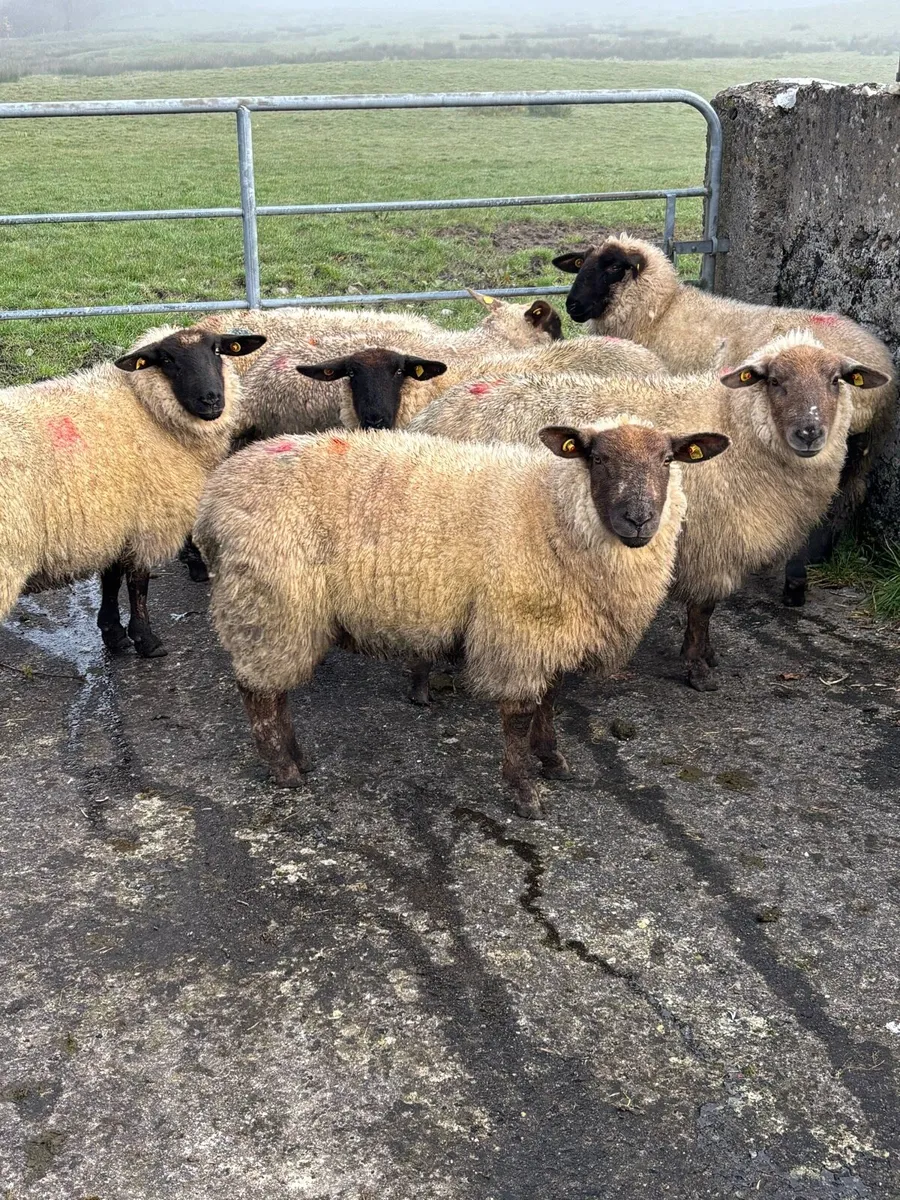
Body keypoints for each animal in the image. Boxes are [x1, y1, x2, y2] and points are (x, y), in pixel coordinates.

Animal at [0, 325, 265, 658]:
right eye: (167, 360)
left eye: (217, 351)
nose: (212, 399)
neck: (146, 409)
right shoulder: (147, 518)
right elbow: (138, 582)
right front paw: (146, 640)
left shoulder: (118, 520)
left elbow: (112, 579)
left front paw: (113, 633)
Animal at [194, 421, 729, 817]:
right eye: (597, 459)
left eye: (668, 460)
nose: (639, 520)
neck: (551, 511)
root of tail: (212, 502)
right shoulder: (517, 627)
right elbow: (519, 714)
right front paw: (524, 791)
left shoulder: (549, 628)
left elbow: (550, 699)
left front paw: (552, 758)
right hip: (270, 604)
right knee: (259, 695)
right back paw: (283, 769)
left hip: (278, 612)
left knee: (276, 692)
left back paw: (298, 760)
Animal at [409, 331, 890, 691]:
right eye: (773, 380)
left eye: (837, 380)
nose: (809, 432)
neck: (736, 428)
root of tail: (431, 416)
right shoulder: (711, 544)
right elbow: (702, 611)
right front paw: (698, 668)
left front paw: (707, 657)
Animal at [553, 232, 898, 605]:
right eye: (581, 263)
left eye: (614, 268)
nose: (572, 306)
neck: (663, 311)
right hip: (860, 453)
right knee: (843, 501)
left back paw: (796, 580)